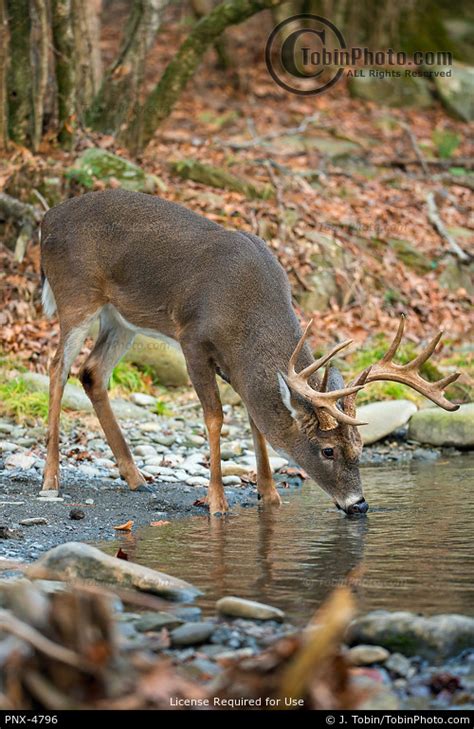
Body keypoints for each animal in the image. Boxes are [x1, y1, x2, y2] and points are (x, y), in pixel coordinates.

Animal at [39, 191, 460, 516]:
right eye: (327, 451)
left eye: (359, 447)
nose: (359, 505)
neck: (247, 314)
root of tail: (46, 219)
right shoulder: (193, 339)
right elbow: (215, 417)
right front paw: (217, 502)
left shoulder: (238, 366)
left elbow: (256, 422)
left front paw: (269, 496)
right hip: (76, 294)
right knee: (58, 367)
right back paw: (51, 479)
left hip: (121, 317)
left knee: (92, 372)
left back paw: (136, 477)